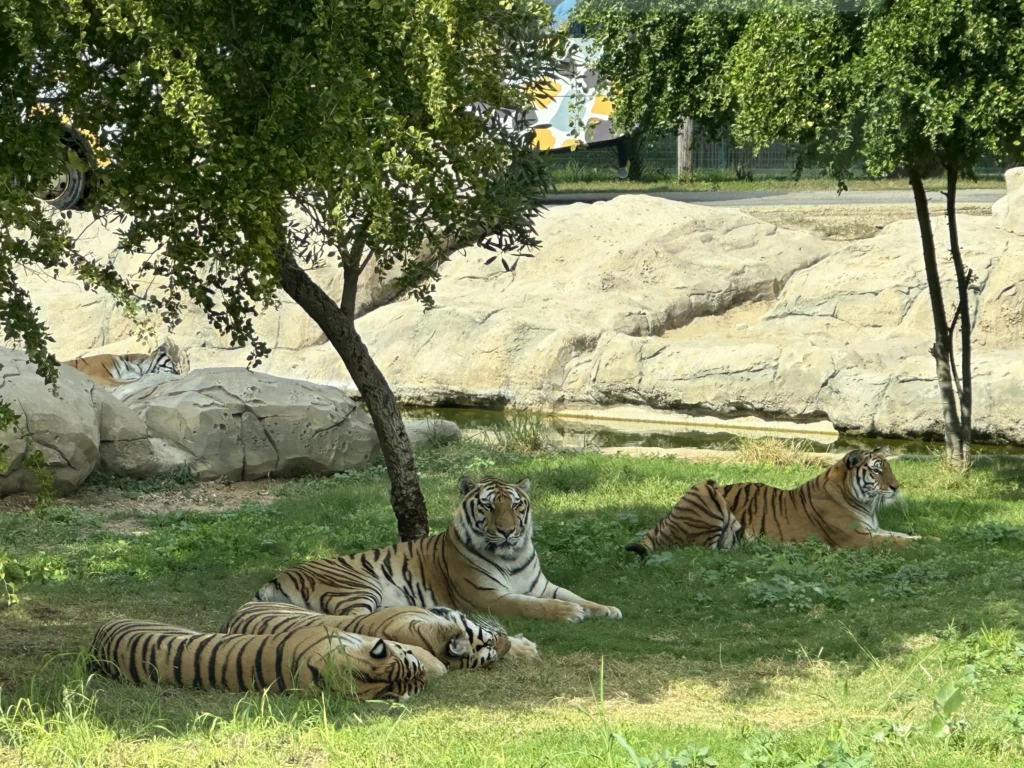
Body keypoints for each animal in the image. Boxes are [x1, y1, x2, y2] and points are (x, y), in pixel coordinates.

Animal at [256, 479, 622, 626]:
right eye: (489, 506)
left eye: (516, 505)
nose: (507, 531)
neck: (512, 555)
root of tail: (276, 577)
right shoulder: (486, 596)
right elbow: (531, 606)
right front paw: (569, 613)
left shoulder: (542, 585)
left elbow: (576, 595)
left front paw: (607, 609)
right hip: (358, 587)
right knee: (355, 621)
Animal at [622, 448, 937, 557]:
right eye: (877, 470)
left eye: (888, 467)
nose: (896, 487)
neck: (864, 503)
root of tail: (660, 522)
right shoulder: (857, 538)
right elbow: (896, 542)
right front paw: (930, 543)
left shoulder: (872, 530)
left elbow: (901, 535)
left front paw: (932, 537)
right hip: (705, 490)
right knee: (702, 550)